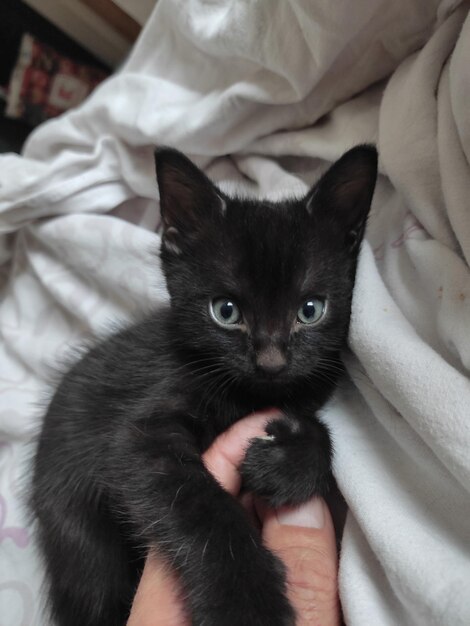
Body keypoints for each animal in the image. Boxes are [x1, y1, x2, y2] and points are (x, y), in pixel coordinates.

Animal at [31, 145, 376, 624]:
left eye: (310, 310)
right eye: (225, 311)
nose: (271, 362)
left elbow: (312, 429)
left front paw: (288, 463)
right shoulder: (141, 435)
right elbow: (201, 505)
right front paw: (246, 602)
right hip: (80, 539)